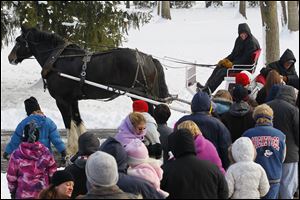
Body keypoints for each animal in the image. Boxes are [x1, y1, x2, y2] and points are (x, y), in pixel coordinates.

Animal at [8, 26, 170, 155]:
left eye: (18, 41)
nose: (10, 58)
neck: (58, 59)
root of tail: (148, 58)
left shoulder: (61, 100)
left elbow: (68, 123)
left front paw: (70, 151)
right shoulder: (73, 100)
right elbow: (77, 120)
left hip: (138, 94)